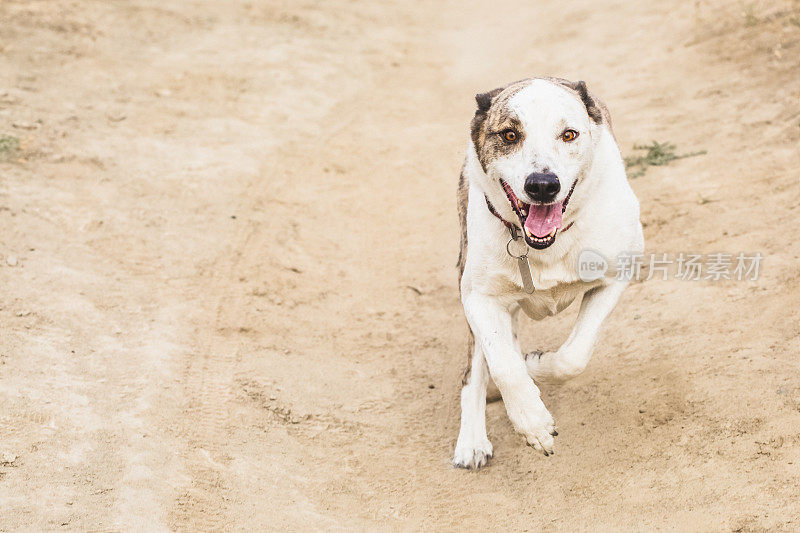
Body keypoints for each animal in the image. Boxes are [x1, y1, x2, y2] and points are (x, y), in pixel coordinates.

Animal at [456, 77, 644, 468]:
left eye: (569, 134)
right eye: (510, 135)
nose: (542, 184)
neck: (543, 246)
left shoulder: (617, 275)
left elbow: (572, 356)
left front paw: (537, 364)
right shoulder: (479, 298)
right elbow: (505, 366)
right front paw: (532, 422)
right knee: (475, 370)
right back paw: (472, 441)